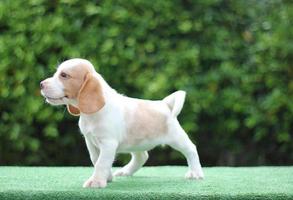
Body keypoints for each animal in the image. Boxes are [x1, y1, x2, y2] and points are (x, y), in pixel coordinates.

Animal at [40, 58, 202, 188]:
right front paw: (107, 177)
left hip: (177, 138)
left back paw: (196, 173)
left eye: (64, 75)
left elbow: (101, 163)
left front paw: (96, 182)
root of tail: (165, 104)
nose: (41, 84)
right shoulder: (90, 142)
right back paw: (126, 171)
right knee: (142, 157)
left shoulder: (108, 143)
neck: (92, 115)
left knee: (191, 150)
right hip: (136, 143)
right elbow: (96, 160)